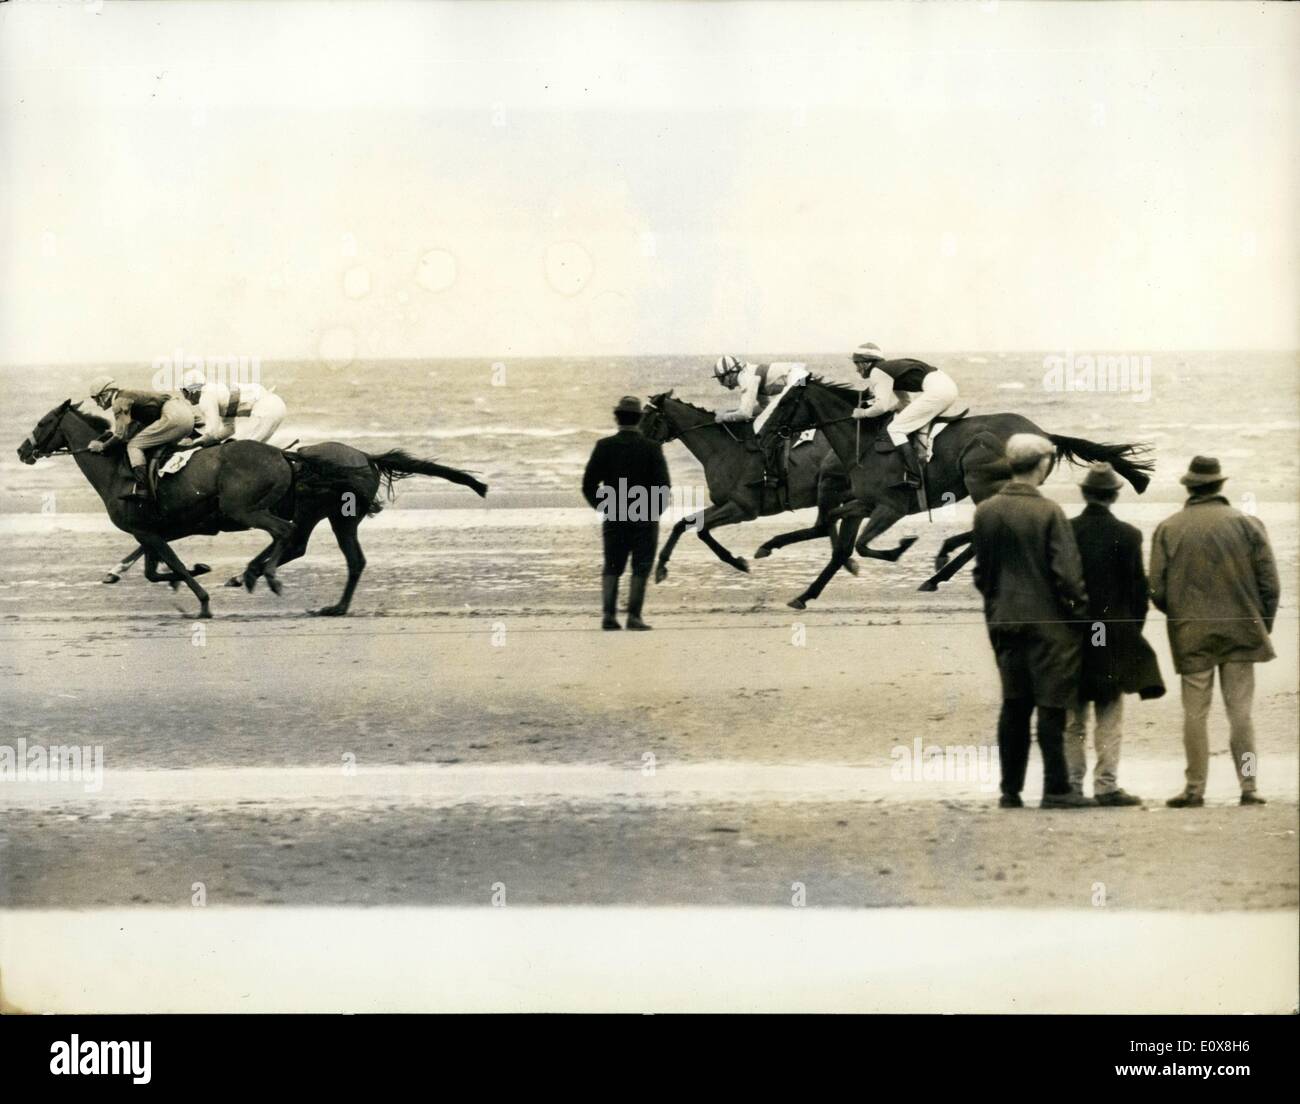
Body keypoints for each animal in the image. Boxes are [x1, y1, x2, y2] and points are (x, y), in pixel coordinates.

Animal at [19, 400, 488, 616]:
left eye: (42, 423)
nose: (23, 450)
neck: (119, 468)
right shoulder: (161, 529)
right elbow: (155, 567)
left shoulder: (152, 529)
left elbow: (168, 566)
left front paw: (203, 599)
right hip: (331, 515)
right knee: (334, 554)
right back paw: (316, 599)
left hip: (271, 510)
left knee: (289, 539)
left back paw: (264, 577)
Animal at [639, 395, 863, 585]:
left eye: (650, 418)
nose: (637, 438)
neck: (723, 449)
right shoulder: (724, 503)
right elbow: (682, 524)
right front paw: (661, 568)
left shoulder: (743, 509)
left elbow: (702, 530)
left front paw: (739, 562)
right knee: (829, 523)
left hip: (829, 484)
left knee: (824, 525)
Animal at [759, 374, 1154, 608]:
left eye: (785, 402)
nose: (764, 431)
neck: (864, 443)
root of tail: (1044, 434)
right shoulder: (864, 503)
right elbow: (841, 540)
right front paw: (802, 591)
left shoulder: (890, 507)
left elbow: (861, 544)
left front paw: (901, 548)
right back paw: (940, 567)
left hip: (981, 479)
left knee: (984, 530)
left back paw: (938, 570)